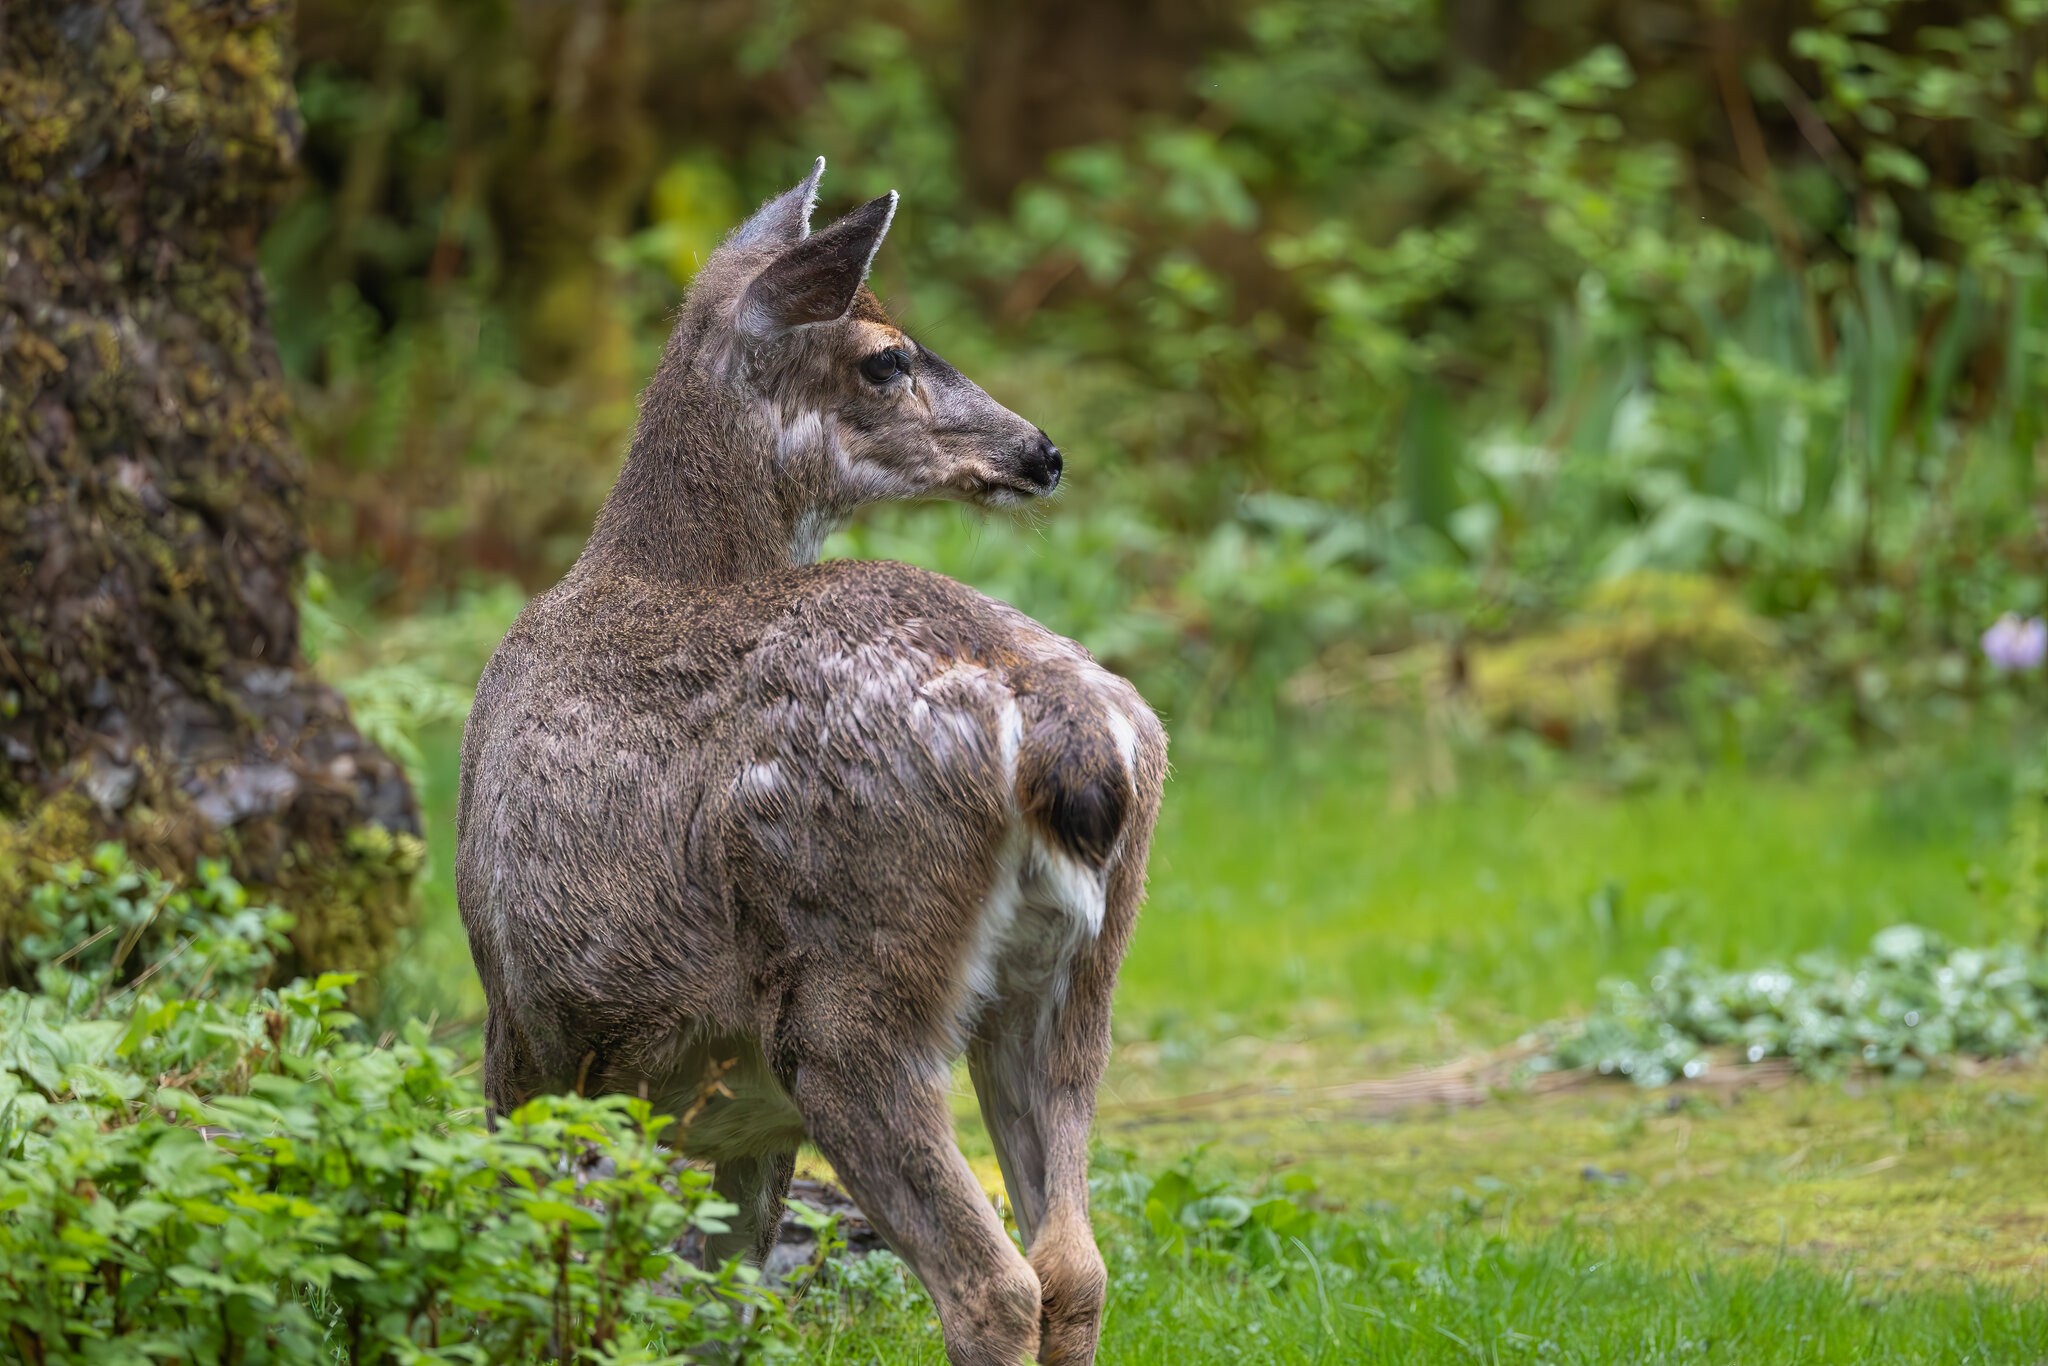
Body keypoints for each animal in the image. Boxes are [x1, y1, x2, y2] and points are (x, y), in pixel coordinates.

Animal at [462, 162, 1171, 1366]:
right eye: (886, 355)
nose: (1040, 450)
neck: (642, 572)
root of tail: (1061, 718)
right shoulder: (734, 1117)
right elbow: (715, 1305)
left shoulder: (526, 1022)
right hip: (1073, 983)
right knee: (1074, 1264)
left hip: (846, 995)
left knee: (992, 1283)